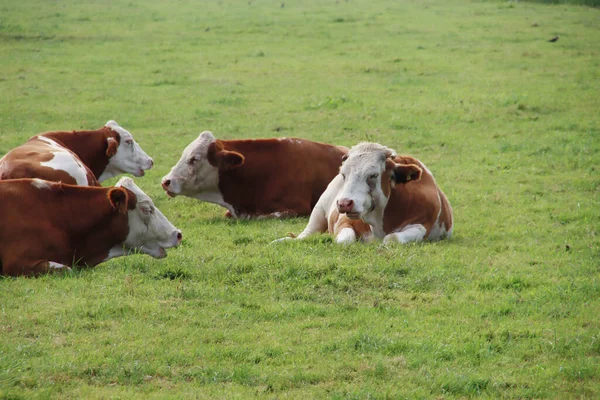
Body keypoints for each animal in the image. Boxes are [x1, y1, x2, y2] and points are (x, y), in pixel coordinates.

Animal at [278, 142, 452, 245]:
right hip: (318, 211)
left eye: (373, 175)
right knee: (306, 234)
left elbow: (392, 239)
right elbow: (344, 240)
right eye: (344, 174)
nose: (344, 203)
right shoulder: (344, 222)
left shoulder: (422, 225)